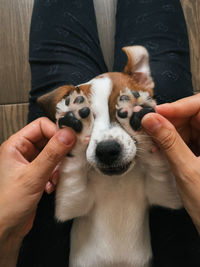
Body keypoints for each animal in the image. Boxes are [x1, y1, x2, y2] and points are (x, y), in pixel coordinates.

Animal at [37, 46, 181, 267]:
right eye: (90, 118)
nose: (107, 151)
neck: (117, 183)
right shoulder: (71, 203)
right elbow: (73, 172)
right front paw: (76, 129)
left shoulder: (165, 194)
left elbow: (158, 168)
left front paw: (139, 120)